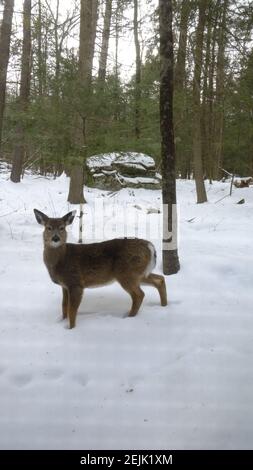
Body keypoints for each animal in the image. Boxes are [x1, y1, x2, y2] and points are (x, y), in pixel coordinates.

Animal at [34, 207, 168, 328]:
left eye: (62, 228)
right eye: (48, 227)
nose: (55, 238)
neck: (61, 261)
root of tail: (150, 246)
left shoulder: (76, 283)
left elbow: (71, 310)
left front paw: (70, 328)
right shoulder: (64, 286)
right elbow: (63, 307)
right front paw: (62, 322)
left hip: (127, 273)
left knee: (139, 294)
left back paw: (129, 317)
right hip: (140, 273)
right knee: (160, 279)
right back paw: (164, 306)